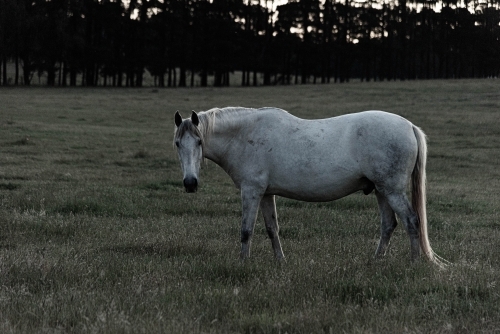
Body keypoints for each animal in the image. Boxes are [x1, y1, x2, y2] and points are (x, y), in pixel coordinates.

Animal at [174, 107, 448, 266]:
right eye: (177, 143)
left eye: (199, 141)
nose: (190, 183)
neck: (245, 135)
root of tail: (409, 126)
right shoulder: (266, 194)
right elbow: (272, 229)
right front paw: (281, 262)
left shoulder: (251, 191)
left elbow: (246, 230)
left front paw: (243, 264)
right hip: (381, 190)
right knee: (389, 224)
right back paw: (376, 261)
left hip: (392, 190)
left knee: (412, 221)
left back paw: (413, 263)